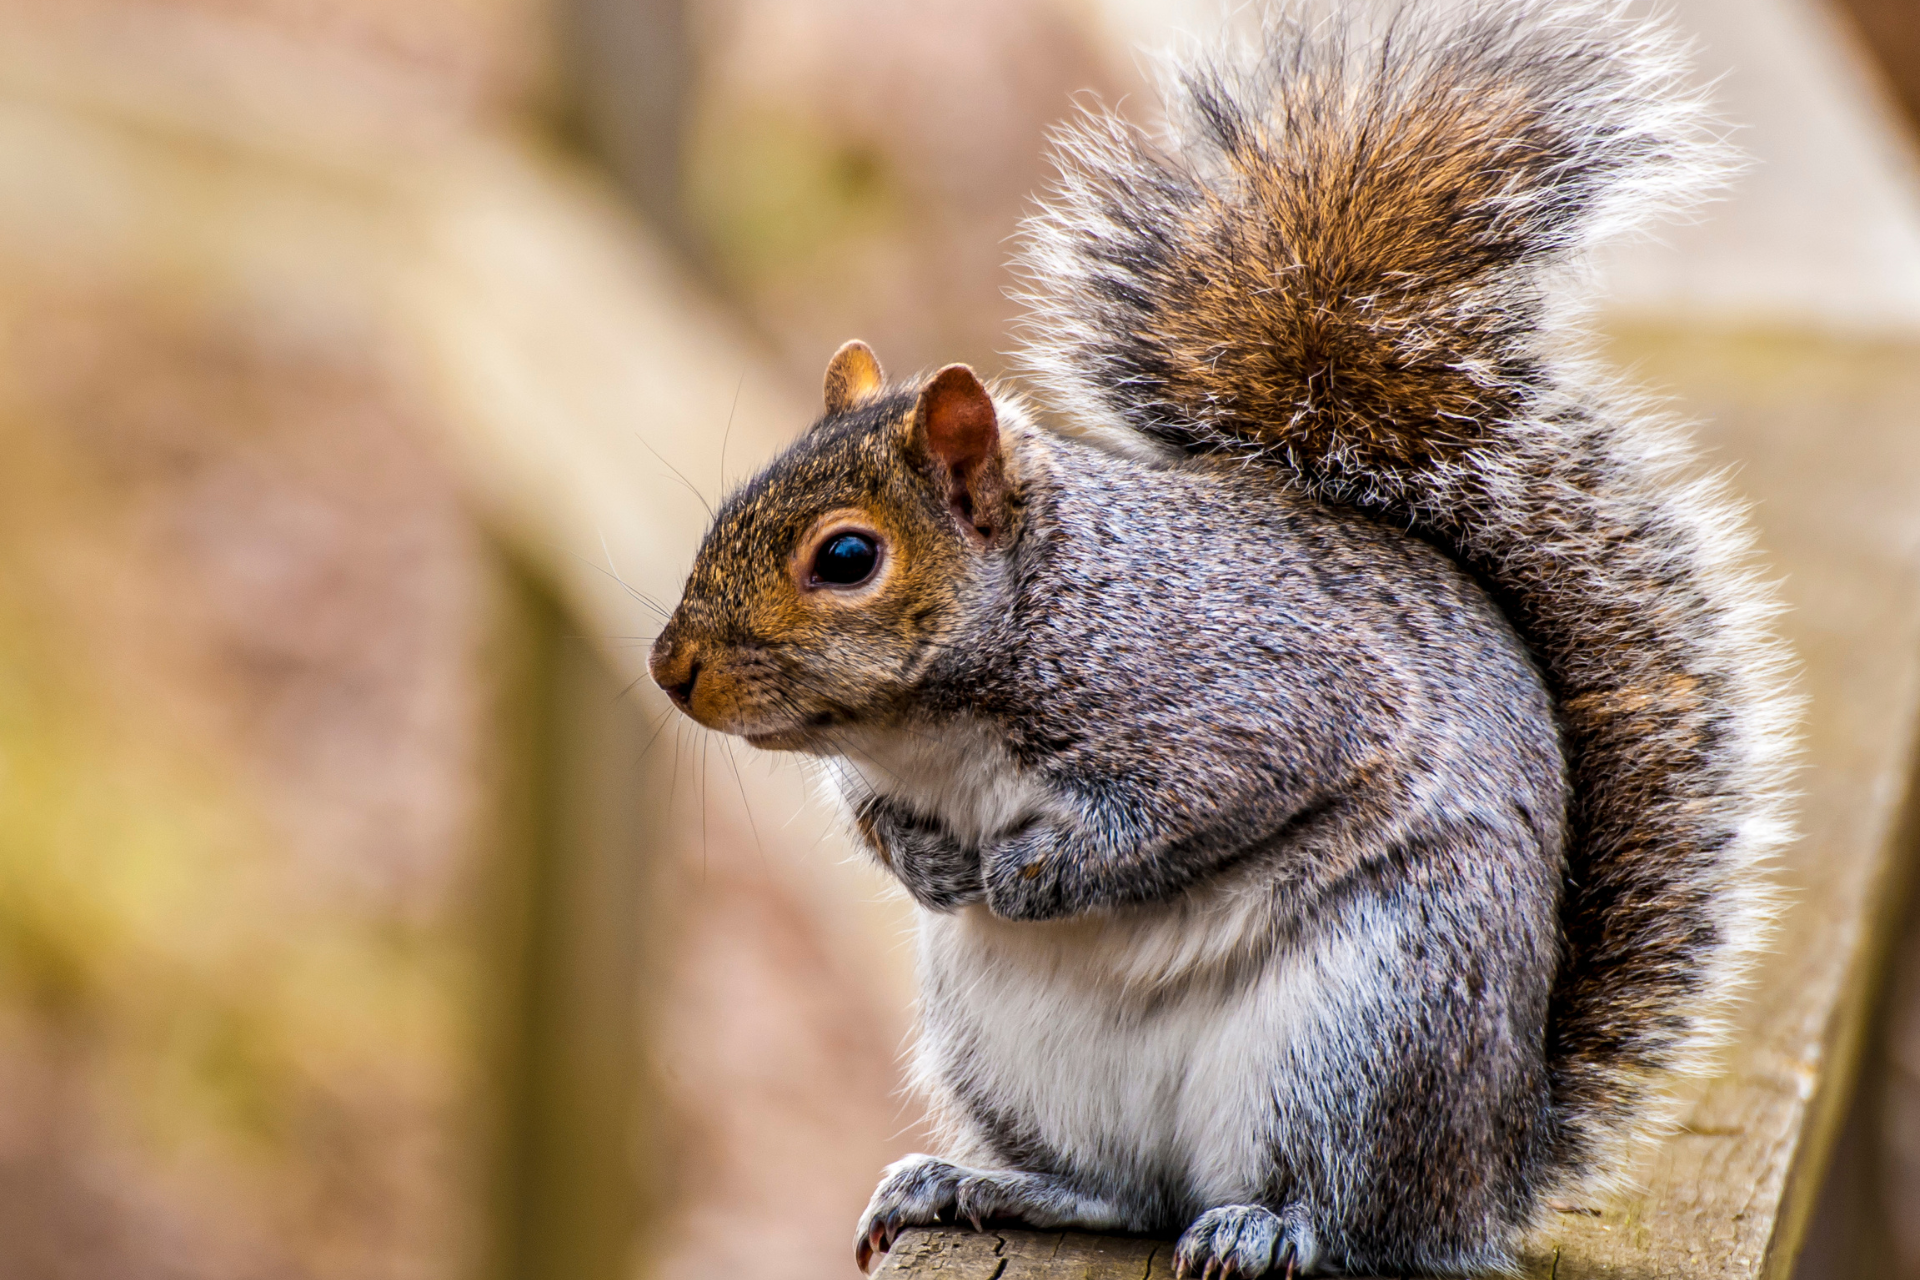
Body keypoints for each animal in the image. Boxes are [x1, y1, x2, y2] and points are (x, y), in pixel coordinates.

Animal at [647, 0, 1794, 1274]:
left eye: (847, 557)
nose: (671, 669)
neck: (940, 720)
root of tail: (1491, 1175)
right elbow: (870, 815)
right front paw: (928, 862)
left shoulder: (1248, 696)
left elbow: (1192, 805)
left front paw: (1032, 869)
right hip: (1012, 1049)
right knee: (1121, 1191)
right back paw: (977, 1182)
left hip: (1373, 1023)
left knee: (1351, 1215)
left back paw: (1267, 1221)